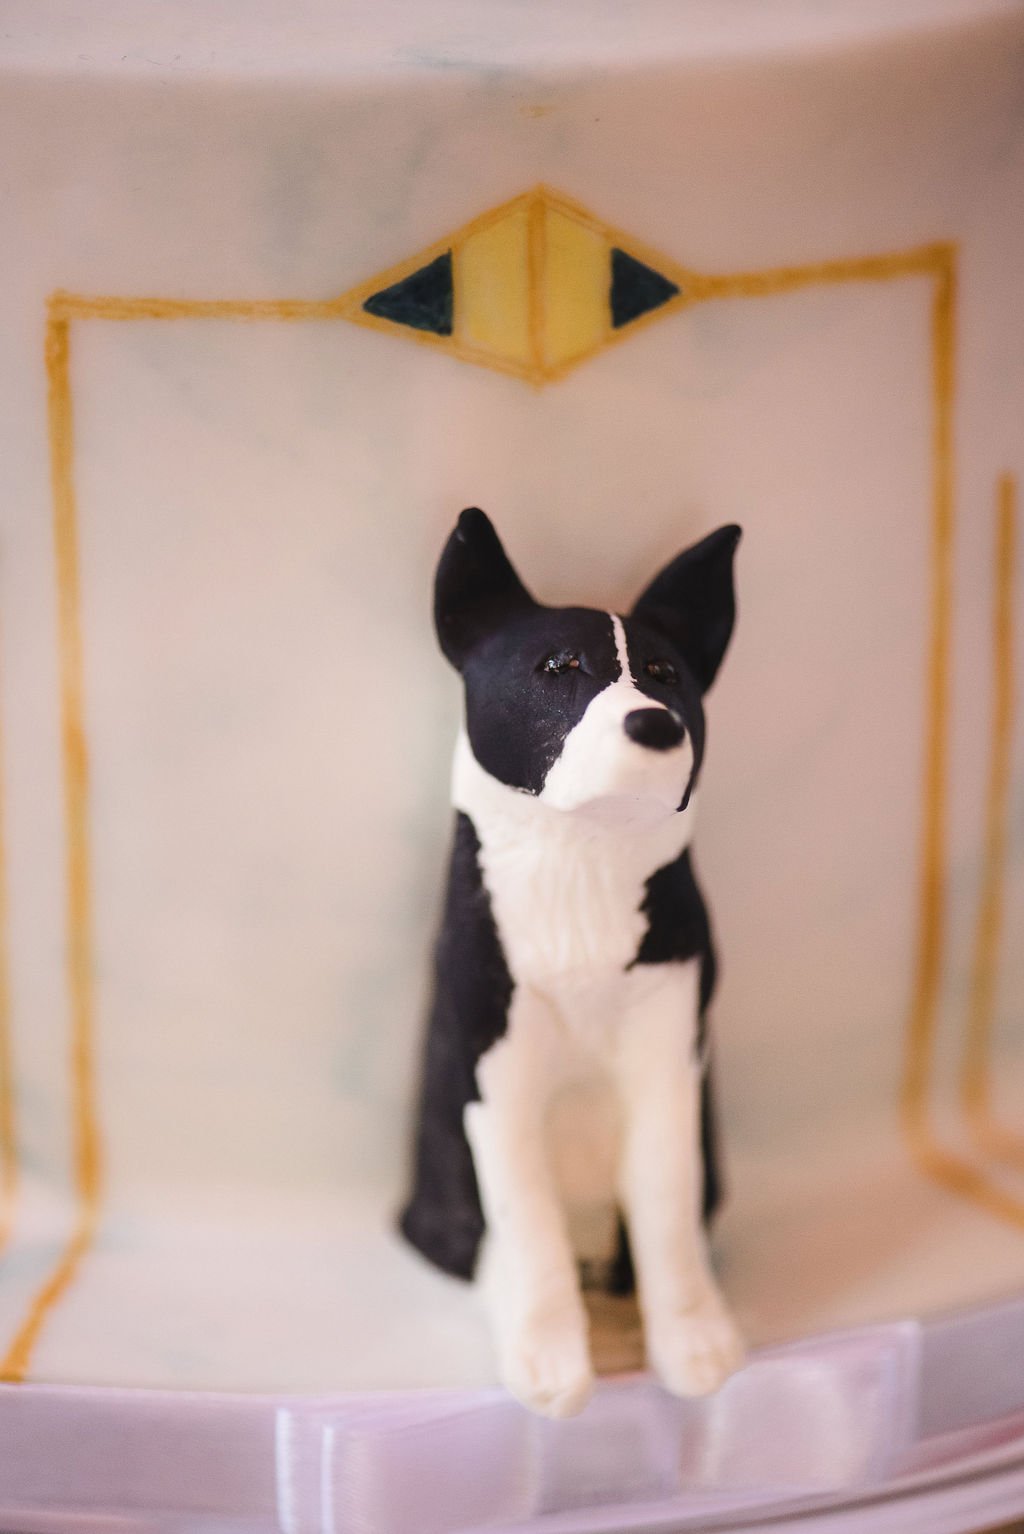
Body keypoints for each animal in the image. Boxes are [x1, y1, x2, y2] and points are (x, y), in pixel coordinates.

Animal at [401, 509, 745, 1417]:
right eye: (558, 668)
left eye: (665, 673)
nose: (656, 724)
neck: (583, 859)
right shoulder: (493, 1067)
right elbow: (526, 1216)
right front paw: (548, 1354)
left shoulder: (670, 1055)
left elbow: (664, 1202)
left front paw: (694, 1341)